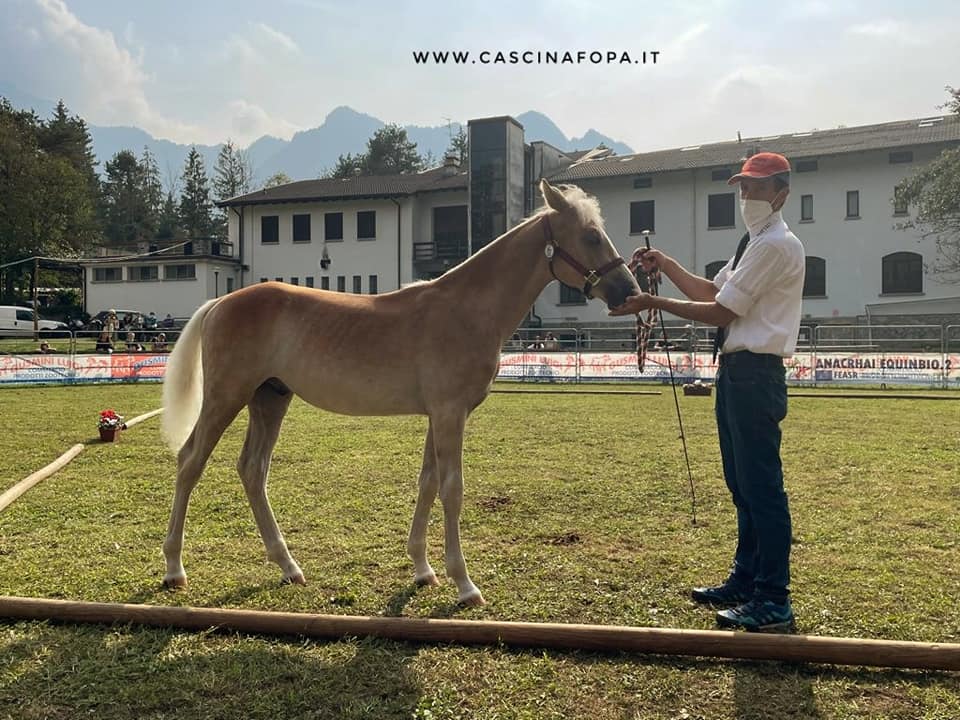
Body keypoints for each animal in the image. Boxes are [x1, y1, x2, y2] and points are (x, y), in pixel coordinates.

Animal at [162, 177, 636, 604]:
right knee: (190, 462)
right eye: (591, 236)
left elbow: (427, 482)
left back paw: (288, 566)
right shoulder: (449, 413)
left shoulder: (440, 415)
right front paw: (465, 585)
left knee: (253, 469)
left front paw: (424, 570)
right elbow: (452, 489)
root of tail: (218, 303)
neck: (466, 310)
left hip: (270, 399)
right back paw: (174, 569)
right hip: (226, 397)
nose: (628, 291)